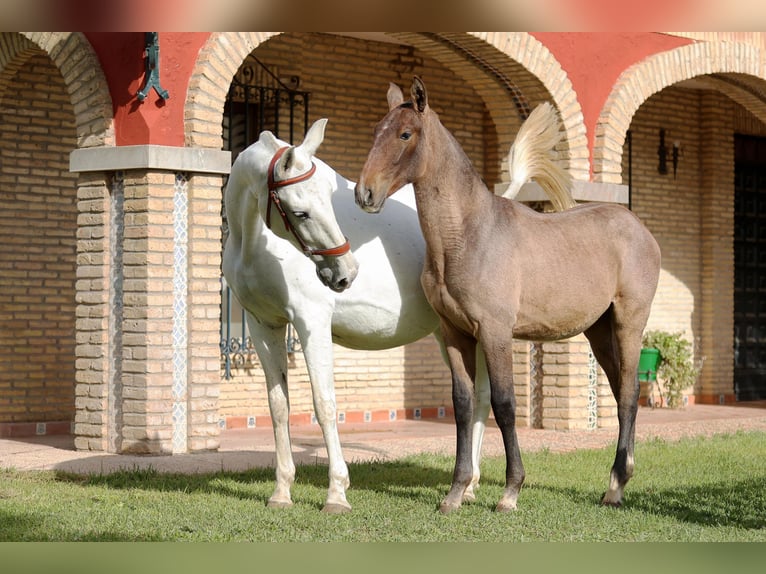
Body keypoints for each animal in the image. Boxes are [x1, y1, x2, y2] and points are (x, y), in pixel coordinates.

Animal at [223, 110, 573, 513]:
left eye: (328, 199)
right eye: (301, 212)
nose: (345, 273)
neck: (254, 242)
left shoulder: (312, 323)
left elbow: (324, 403)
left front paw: (336, 493)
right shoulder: (263, 325)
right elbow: (279, 406)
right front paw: (281, 491)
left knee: (485, 399)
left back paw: (471, 486)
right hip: (452, 333)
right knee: (479, 398)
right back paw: (469, 486)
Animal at [356, 77, 661, 514]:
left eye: (405, 134)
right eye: (375, 131)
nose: (365, 193)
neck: (467, 235)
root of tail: (640, 230)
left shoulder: (496, 332)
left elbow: (504, 404)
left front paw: (510, 491)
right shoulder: (455, 333)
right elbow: (463, 405)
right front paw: (456, 492)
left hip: (628, 324)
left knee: (631, 393)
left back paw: (617, 483)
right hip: (598, 331)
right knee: (621, 391)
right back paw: (615, 485)